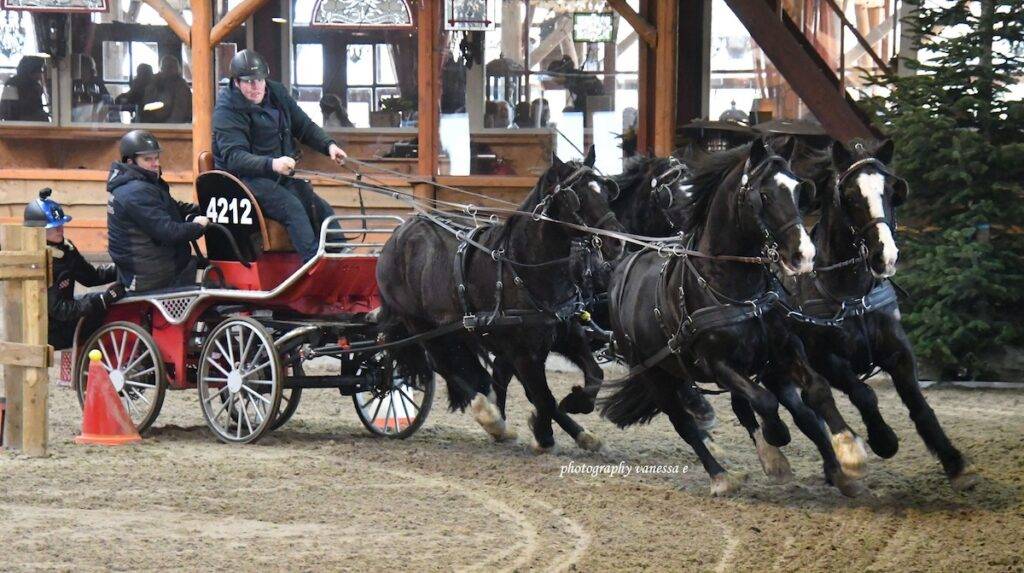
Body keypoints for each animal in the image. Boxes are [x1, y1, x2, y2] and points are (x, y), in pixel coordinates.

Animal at [376, 147, 627, 452]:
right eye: (576, 196)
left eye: (605, 189)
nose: (617, 242)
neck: (524, 268)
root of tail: (397, 235)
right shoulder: (523, 352)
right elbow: (543, 398)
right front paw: (544, 434)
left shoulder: (567, 334)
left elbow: (594, 375)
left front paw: (577, 409)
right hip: (423, 327)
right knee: (445, 366)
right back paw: (492, 418)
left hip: (457, 332)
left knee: (477, 373)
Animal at [601, 136, 869, 497]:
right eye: (764, 195)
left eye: (798, 190)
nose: (804, 255)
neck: (737, 288)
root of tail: (624, 269)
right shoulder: (717, 364)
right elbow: (765, 403)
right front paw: (776, 442)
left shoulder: (783, 349)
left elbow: (817, 390)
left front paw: (849, 455)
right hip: (656, 374)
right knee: (685, 424)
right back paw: (721, 475)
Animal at [780, 138, 978, 490]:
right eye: (850, 196)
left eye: (891, 191)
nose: (885, 256)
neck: (852, 293)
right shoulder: (823, 356)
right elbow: (863, 393)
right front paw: (884, 440)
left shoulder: (898, 350)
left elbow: (919, 404)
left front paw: (954, 461)